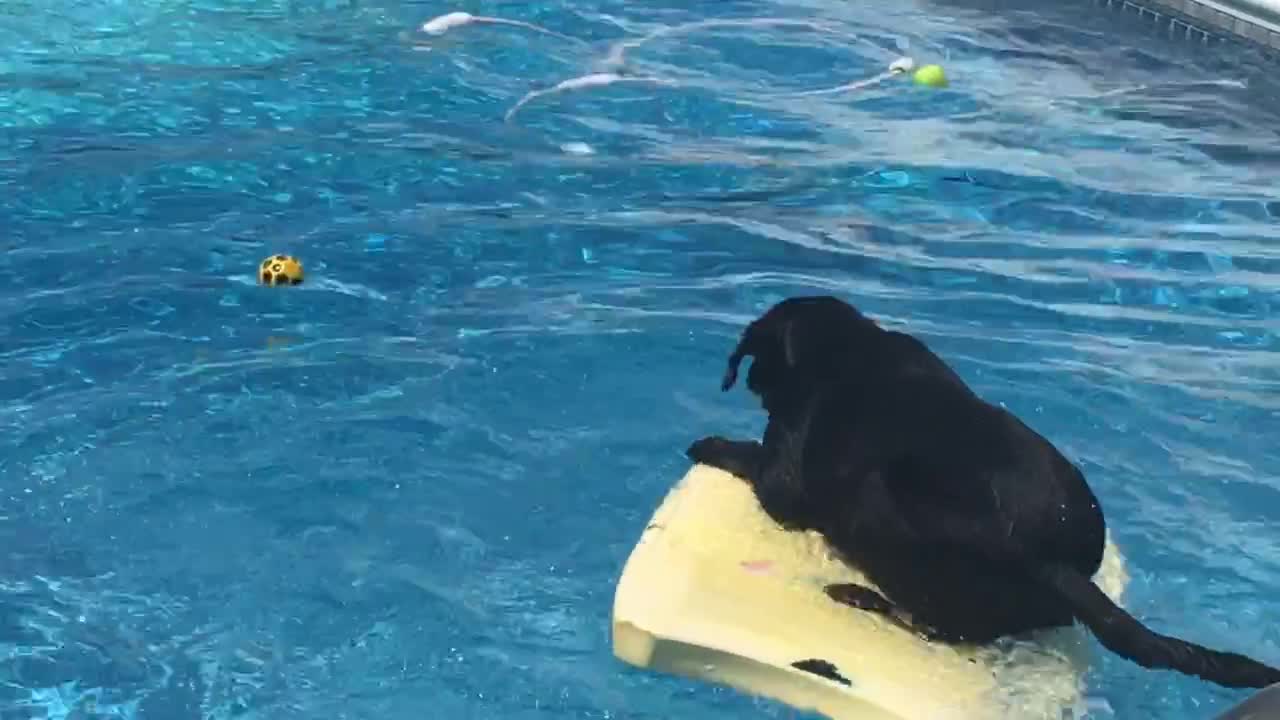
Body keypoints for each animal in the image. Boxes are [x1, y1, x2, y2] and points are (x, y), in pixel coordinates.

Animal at [691, 294, 1280, 686]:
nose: (751, 383)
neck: (842, 346)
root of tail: (1055, 563)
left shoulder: (783, 475)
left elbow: (757, 464)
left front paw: (711, 443)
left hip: (895, 513)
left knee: (938, 627)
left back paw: (861, 595)